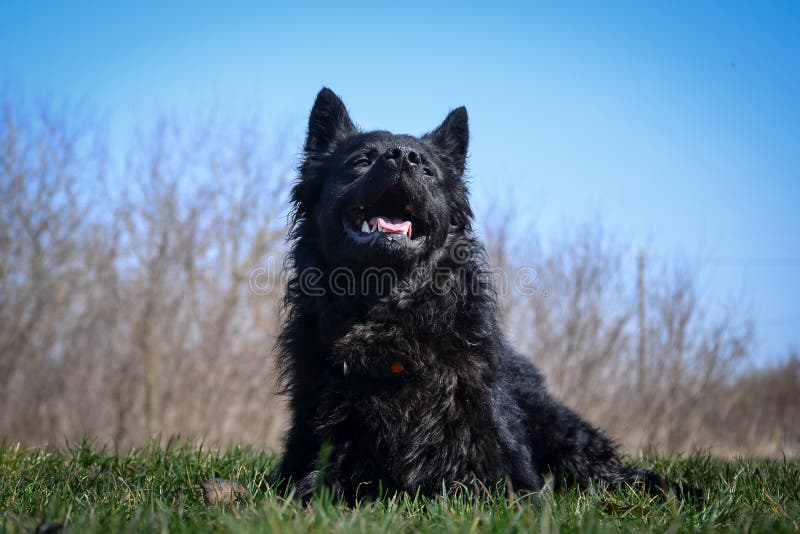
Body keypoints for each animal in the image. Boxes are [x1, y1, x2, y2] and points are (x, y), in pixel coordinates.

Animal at [278, 88, 692, 502]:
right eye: (362, 161)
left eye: (428, 170)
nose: (404, 157)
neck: (391, 321)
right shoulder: (323, 453)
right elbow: (313, 486)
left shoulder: (496, 464)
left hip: (562, 435)